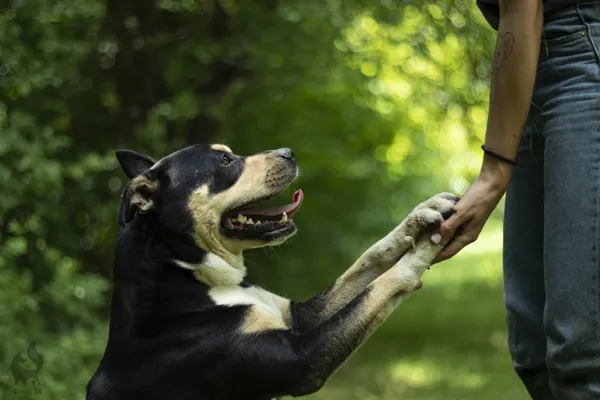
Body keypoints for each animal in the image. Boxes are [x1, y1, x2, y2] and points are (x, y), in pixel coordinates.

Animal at [86, 144, 458, 400]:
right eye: (225, 162)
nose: (288, 152)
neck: (185, 273)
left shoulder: (298, 315)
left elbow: (368, 262)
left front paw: (418, 217)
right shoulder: (302, 358)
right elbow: (376, 289)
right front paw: (421, 252)